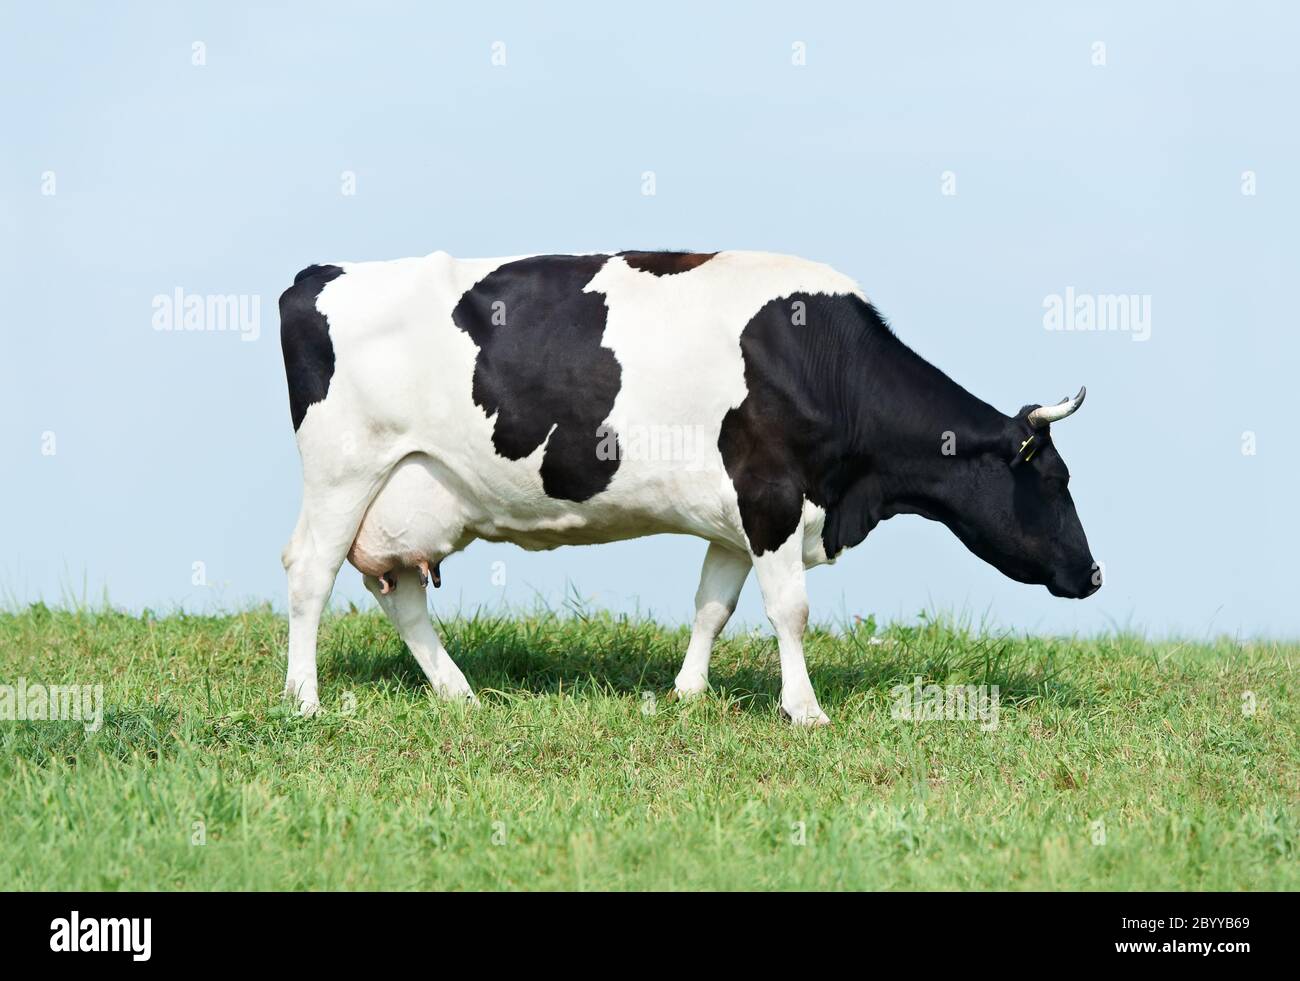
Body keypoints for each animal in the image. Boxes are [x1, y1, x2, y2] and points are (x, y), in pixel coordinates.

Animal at [282, 249, 1097, 727]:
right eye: (1056, 478)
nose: (1093, 573)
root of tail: (321, 271)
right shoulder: (771, 496)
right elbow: (790, 610)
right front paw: (805, 710)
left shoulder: (735, 518)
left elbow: (713, 606)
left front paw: (688, 692)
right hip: (343, 471)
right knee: (309, 574)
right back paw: (304, 699)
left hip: (409, 495)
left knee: (400, 595)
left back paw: (458, 692)